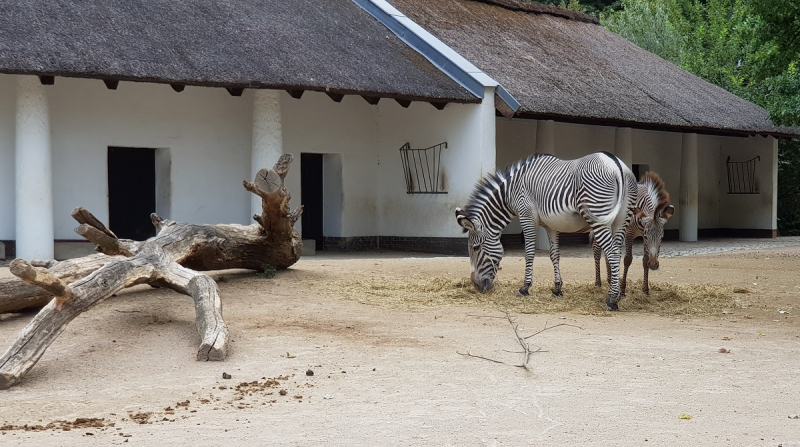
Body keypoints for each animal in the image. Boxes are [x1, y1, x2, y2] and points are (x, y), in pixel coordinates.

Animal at [456, 152, 636, 310]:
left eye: (475, 248)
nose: (477, 286)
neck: (510, 192)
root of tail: (615, 164)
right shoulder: (551, 225)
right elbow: (554, 255)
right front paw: (557, 288)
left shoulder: (526, 216)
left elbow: (529, 253)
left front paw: (525, 287)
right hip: (621, 220)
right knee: (616, 252)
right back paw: (617, 295)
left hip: (598, 214)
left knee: (612, 253)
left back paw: (611, 299)